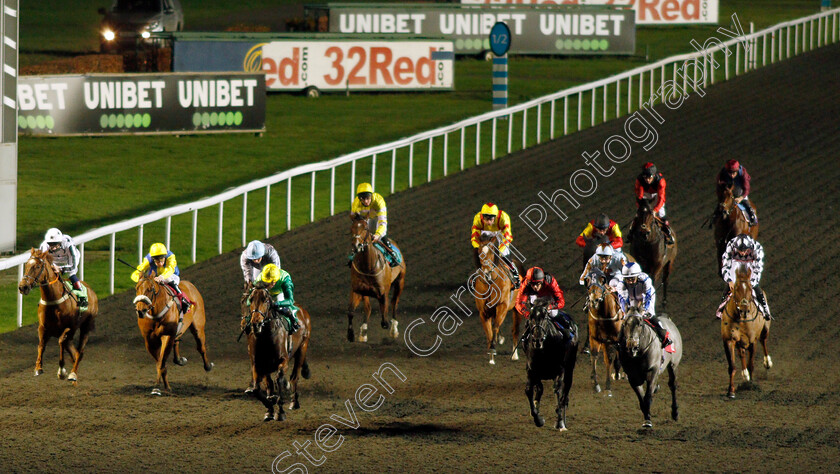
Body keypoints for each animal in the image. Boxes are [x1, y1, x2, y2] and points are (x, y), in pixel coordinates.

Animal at [17, 250, 99, 384]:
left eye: (37, 266)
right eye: (27, 265)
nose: (22, 287)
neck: (53, 299)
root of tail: (91, 291)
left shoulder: (69, 327)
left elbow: (61, 341)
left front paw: (61, 371)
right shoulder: (43, 327)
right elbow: (41, 345)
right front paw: (38, 368)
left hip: (86, 326)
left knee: (80, 352)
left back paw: (73, 374)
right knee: (74, 352)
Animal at [244, 286, 314, 422]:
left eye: (266, 300)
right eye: (251, 299)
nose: (256, 323)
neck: (266, 337)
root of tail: (302, 310)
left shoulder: (283, 360)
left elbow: (278, 379)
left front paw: (280, 411)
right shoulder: (258, 363)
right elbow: (259, 388)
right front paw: (269, 409)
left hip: (302, 347)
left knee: (294, 377)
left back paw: (294, 402)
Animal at [472, 235, 520, 364]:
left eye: (492, 251)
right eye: (479, 252)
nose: (486, 273)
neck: (490, 283)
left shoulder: (502, 305)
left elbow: (495, 326)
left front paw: (493, 348)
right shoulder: (483, 311)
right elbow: (488, 331)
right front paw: (491, 353)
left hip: (517, 307)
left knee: (515, 330)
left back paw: (514, 355)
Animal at [524, 300, 576, 430]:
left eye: (545, 317)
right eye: (530, 317)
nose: (537, 340)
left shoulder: (560, 370)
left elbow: (558, 390)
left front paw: (560, 422)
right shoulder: (532, 370)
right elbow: (530, 390)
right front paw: (538, 418)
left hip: (570, 366)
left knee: (566, 388)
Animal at [720, 264, 776, 398]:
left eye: (750, 288)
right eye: (735, 288)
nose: (744, 310)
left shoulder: (752, 340)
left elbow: (751, 364)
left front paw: (750, 385)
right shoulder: (729, 340)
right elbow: (732, 366)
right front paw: (731, 391)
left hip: (765, 329)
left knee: (763, 341)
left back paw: (767, 363)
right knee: (741, 352)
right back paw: (744, 374)